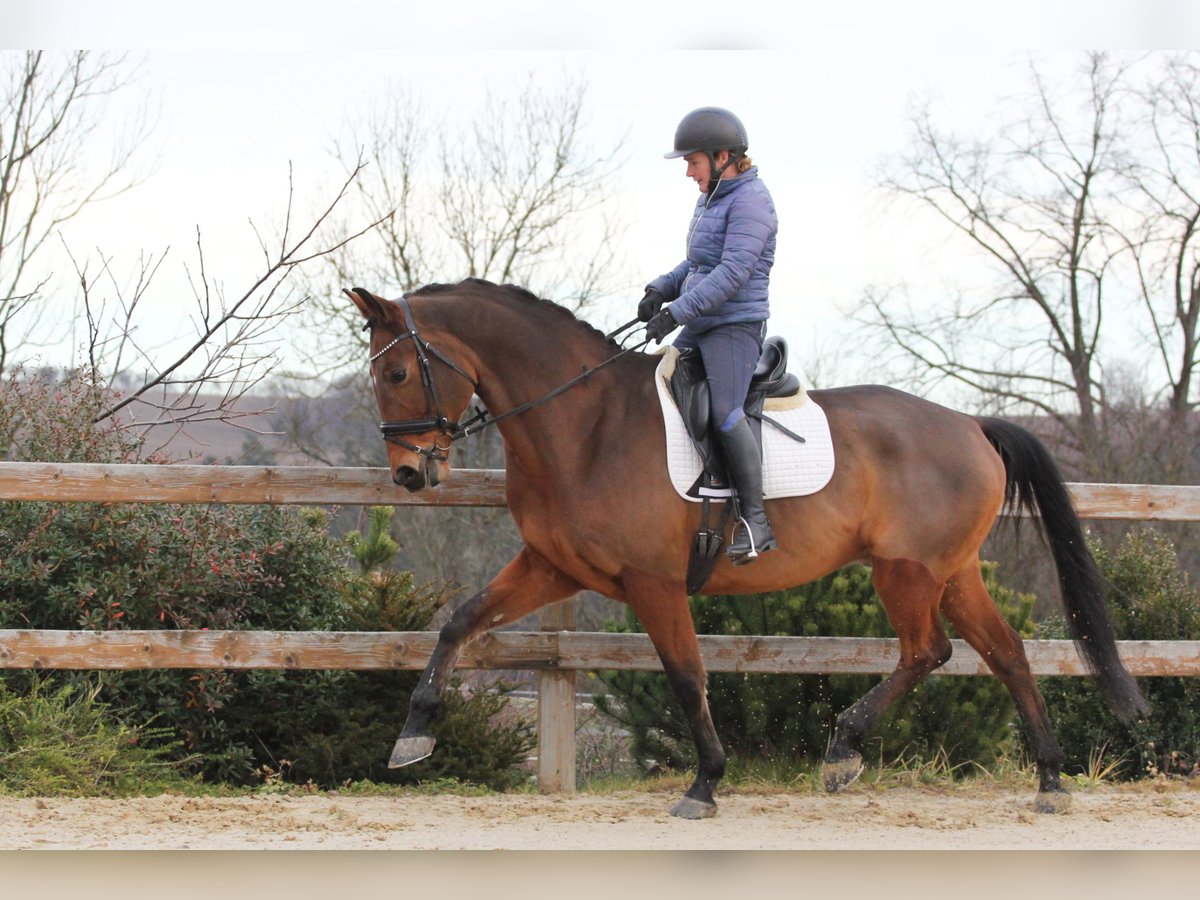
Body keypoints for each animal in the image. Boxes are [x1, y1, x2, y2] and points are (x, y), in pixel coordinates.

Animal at [345, 278, 1142, 820]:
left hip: (907, 573)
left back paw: (843, 751)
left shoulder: (653, 583)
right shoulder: (553, 569)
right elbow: (459, 622)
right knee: (1005, 652)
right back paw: (1050, 780)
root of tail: (971, 424)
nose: (410, 474)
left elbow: (685, 674)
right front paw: (413, 736)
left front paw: (705, 782)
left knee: (930, 651)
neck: (585, 424)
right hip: (951, 573)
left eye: (396, 373)